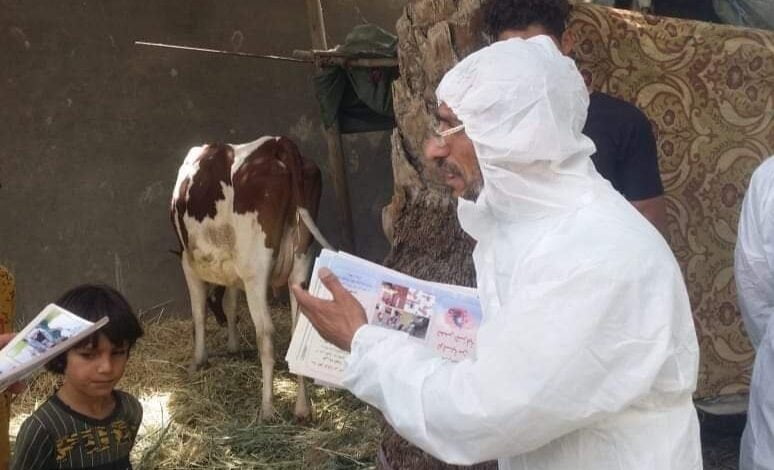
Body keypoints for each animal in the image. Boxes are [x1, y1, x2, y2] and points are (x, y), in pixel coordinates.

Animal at [171, 136, 331, 421]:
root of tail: (276, 143)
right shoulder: (235, 272)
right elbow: (231, 303)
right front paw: (233, 345)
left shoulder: (189, 265)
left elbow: (199, 313)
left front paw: (198, 360)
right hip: (301, 261)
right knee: (296, 329)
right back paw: (302, 408)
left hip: (255, 268)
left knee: (266, 333)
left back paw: (267, 408)